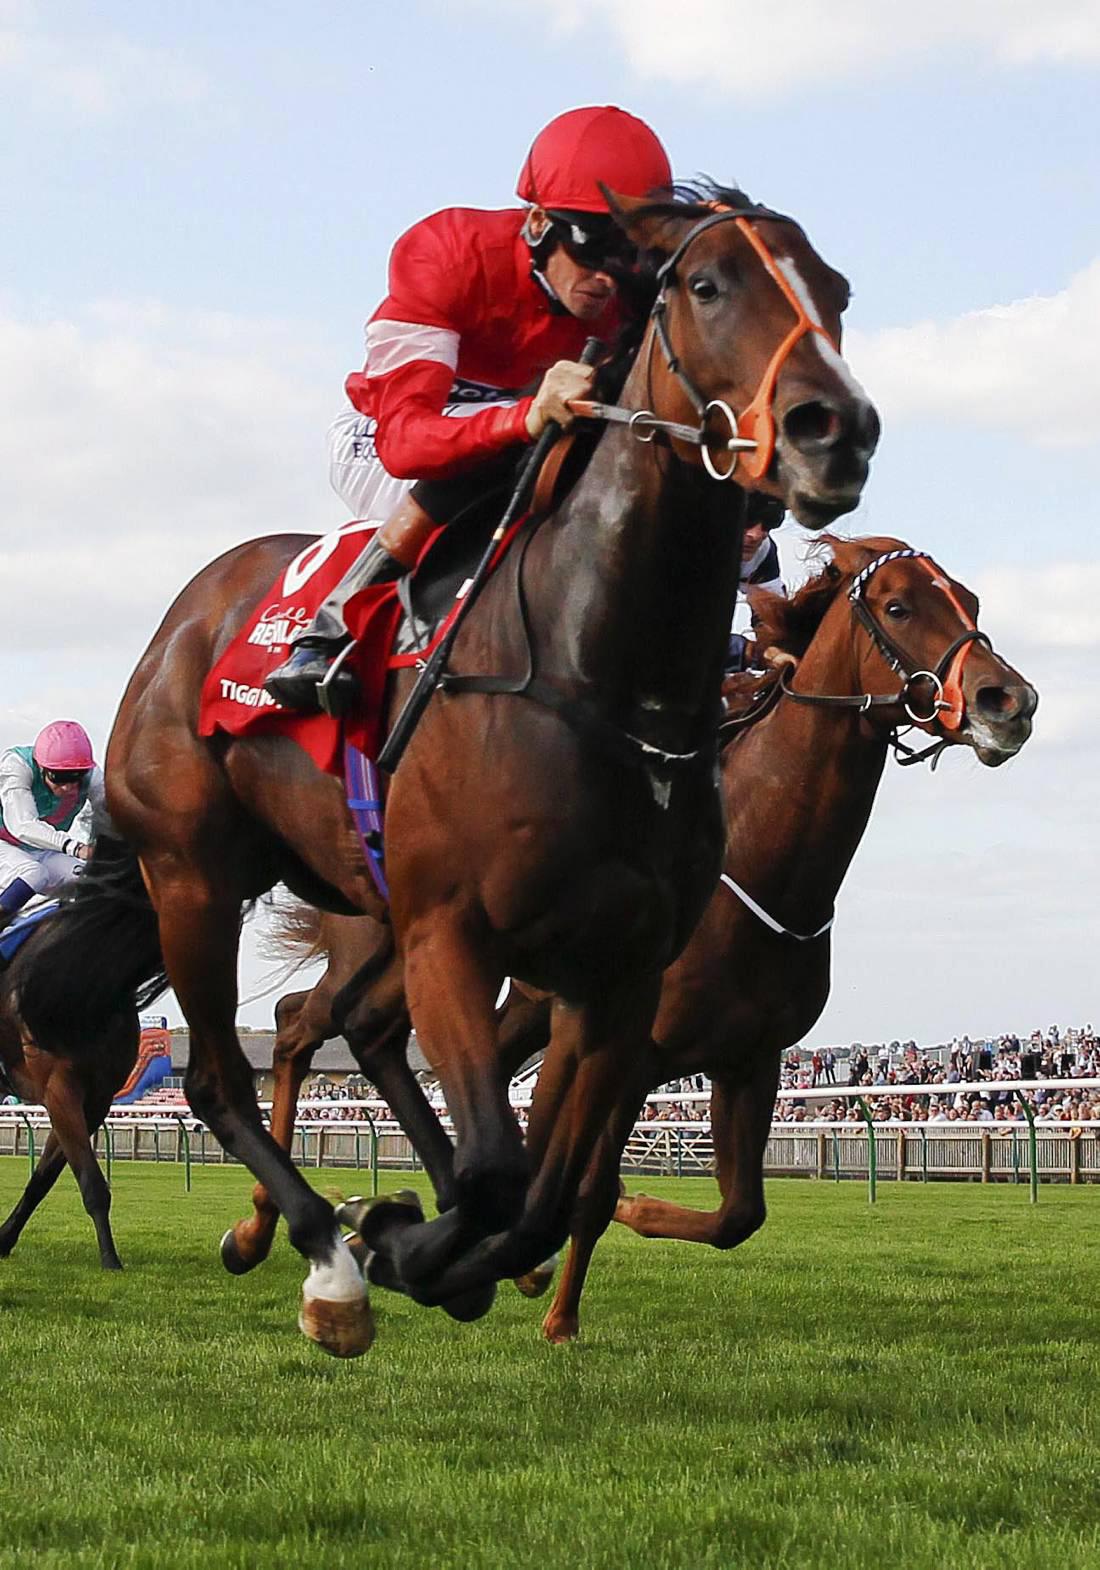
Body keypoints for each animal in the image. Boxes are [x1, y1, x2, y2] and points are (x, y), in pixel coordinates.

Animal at [0, 910, 140, 1270]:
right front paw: (110, 1259)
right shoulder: (60, 1089)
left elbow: (42, 1179)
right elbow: (91, 1181)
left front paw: (4, 1238)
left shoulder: (96, 1100)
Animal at [18, 185, 879, 1354]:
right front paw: (391, 1244)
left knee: (363, 1046)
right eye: (707, 285)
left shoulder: (620, 979)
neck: (597, 679)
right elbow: (498, 1172)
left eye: (836, 291)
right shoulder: (454, 934)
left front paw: (438, 1246)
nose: (836, 431)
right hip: (193, 875)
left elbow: (543, 1191)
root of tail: (186, 617)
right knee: (219, 1075)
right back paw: (324, 1257)